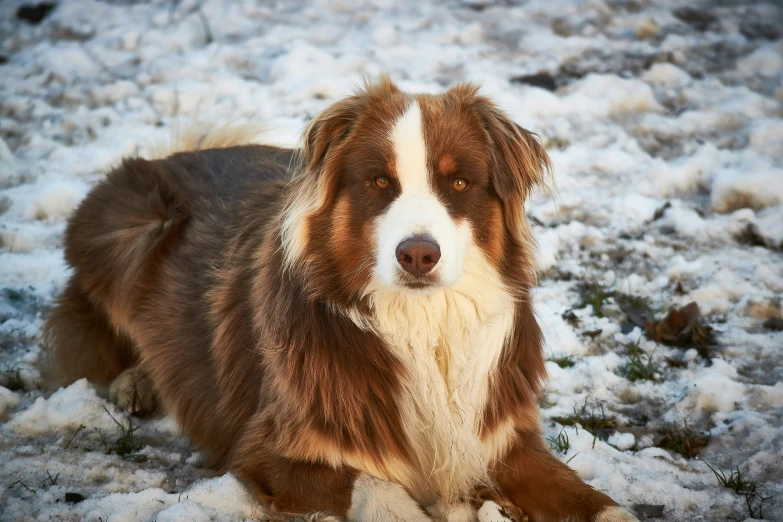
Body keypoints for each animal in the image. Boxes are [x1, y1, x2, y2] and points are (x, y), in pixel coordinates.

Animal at [44, 76, 636, 520]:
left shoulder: (506, 440)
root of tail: (182, 152)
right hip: (134, 223)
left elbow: (595, 501)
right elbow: (381, 491)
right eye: (379, 182)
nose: (417, 255)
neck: (422, 328)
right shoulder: (269, 450)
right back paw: (136, 381)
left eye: (459, 184)